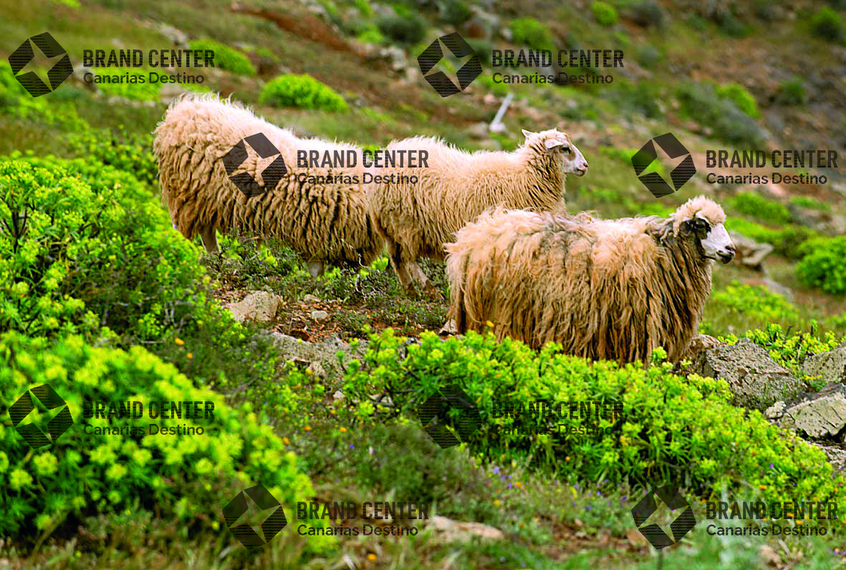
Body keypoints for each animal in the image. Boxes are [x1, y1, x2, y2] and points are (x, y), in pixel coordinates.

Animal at [154, 93, 382, 276]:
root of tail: (181, 111)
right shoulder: (316, 237)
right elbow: (316, 270)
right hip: (187, 195)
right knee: (184, 231)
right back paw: (186, 254)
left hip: (209, 201)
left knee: (207, 233)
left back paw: (217, 260)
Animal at [366, 129, 589, 297]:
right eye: (566, 149)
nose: (585, 165)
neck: (526, 177)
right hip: (405, 223)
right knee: (408, 260)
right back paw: (430, 291)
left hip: (391, 226)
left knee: (397, 260)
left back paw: (410, 290)